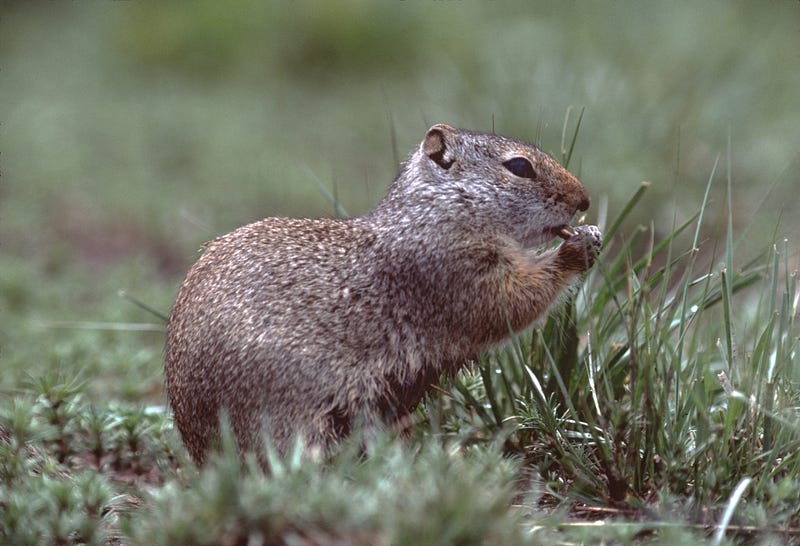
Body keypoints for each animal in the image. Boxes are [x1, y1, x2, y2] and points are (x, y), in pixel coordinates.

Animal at [167, 124, 600, 464]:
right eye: (520, 167)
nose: (584, 199)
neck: (435, 212)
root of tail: (204, 452)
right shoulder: (454, 271)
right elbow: (509, 302)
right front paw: (577, 247)